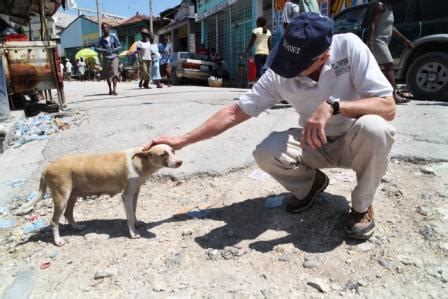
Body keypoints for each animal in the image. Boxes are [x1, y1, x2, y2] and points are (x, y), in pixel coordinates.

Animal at [17, 145, 182, 246]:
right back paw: (58, 241)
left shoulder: (135, 192)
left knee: (69, 214)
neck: (141, 162)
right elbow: (129, 216)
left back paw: (77, 227)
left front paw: (137, 222)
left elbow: (134, 211)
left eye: (173, 150)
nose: (180, 162)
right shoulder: (126, 195)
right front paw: (133, 233)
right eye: (163, 154)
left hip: (72, 196)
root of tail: (46, 168)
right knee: (53, 221)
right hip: (61, 197)